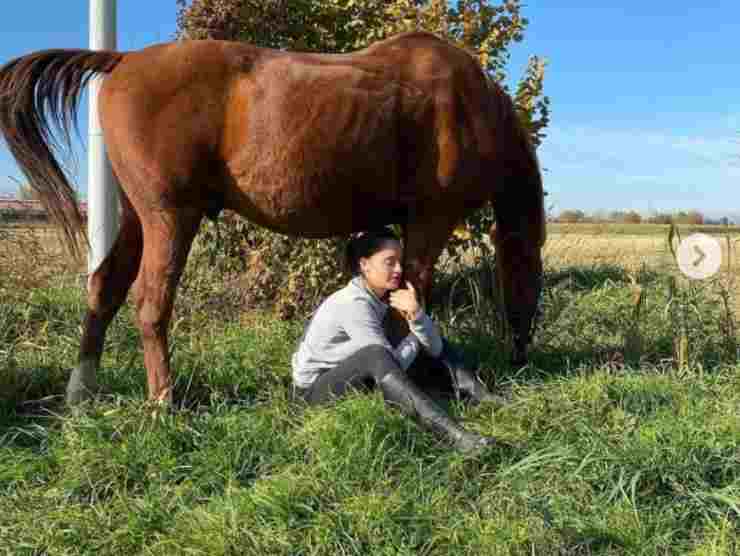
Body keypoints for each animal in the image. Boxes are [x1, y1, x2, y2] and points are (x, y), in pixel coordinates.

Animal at [0, 31, 544, 404]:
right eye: (527, 268)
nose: (521, 355)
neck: (469, 103)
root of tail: (123, 61)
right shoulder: (430, 220)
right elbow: (409, 300)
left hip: (138, 218)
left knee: (104, 289)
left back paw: (81, 394)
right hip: (169, 219)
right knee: (151, 304)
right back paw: (163, 402)